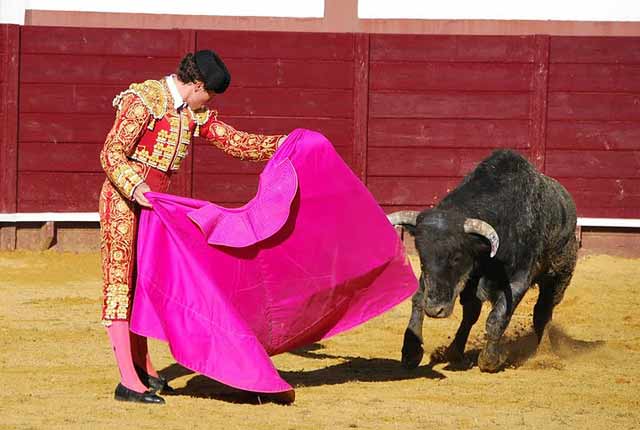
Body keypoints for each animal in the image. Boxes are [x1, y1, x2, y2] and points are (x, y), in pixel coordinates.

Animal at [388, 149, 576, 372]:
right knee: (471, 313)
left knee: (543, 312)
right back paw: (454, 352)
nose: (435, 309)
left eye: (457, 256)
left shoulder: (518, 280)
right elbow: (418, 300)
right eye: (422, 254)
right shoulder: (441, 279)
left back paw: (543, 355)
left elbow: (497, 318)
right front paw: (411, 353)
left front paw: (490, 360)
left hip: (559, 276)